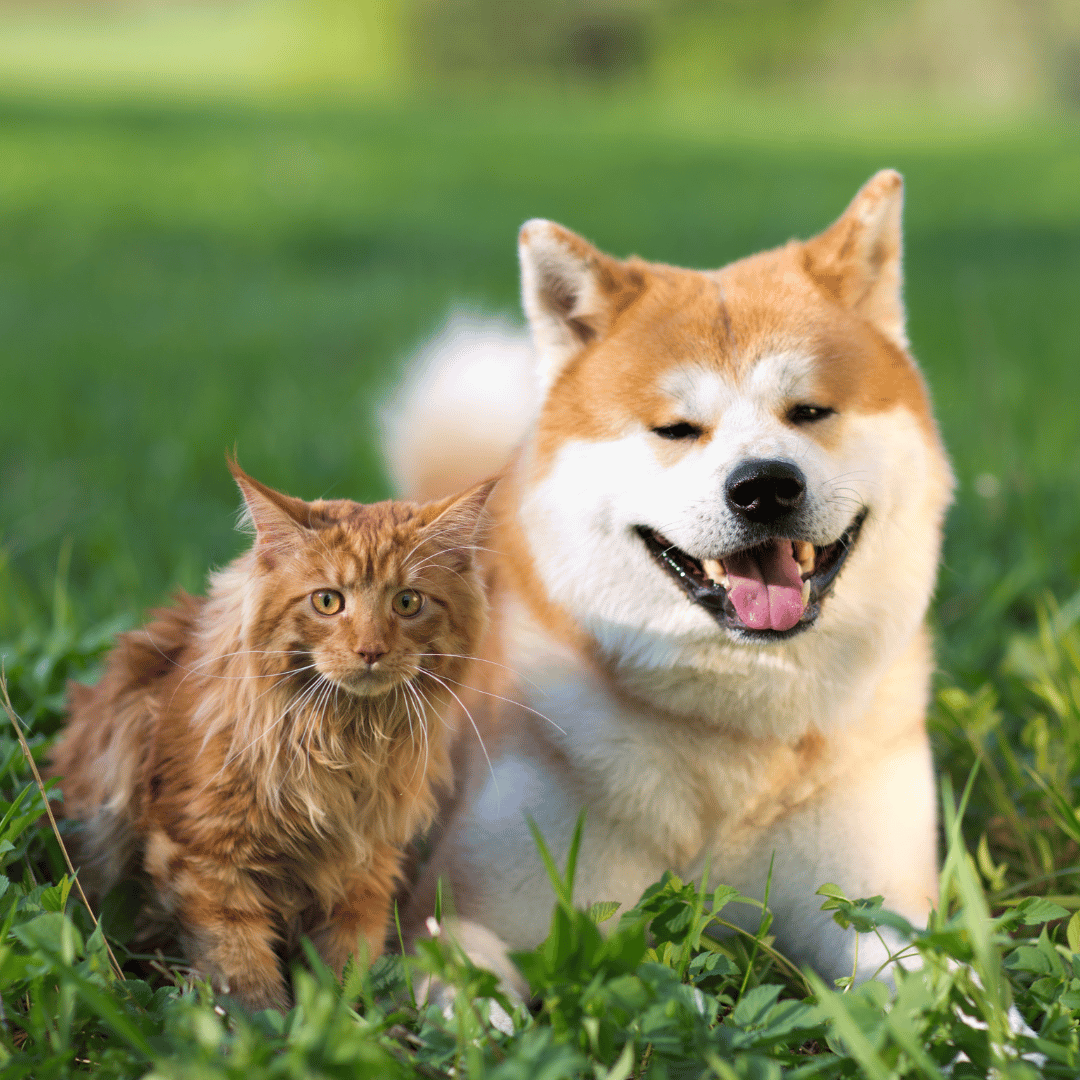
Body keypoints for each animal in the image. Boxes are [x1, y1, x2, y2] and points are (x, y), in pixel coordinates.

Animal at [49, 460, 490, 1006]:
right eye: (328, 601)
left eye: (407, 602)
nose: (370, 651)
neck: (343, 739)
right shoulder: (205, 854)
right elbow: (241, 968)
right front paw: (266, 1017)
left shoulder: (367, 868)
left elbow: (346, 967)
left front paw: (342, 1016)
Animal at [386, 170, 954, 989]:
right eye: (676, 429)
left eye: (810, 411)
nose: (764, 487)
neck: (736, 731)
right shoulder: (457, 917)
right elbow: (471, 989)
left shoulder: (886, 911)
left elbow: (960, 989)